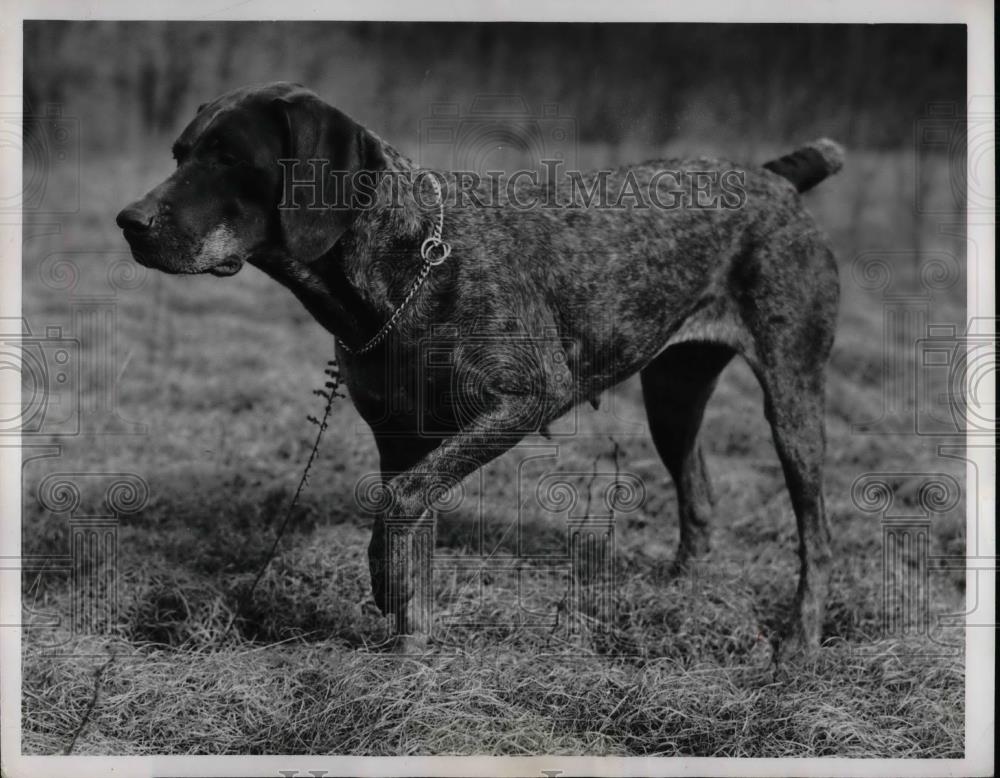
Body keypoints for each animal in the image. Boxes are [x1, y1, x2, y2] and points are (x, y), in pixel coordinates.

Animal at [117, 83, 844, 656]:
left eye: (230, 159)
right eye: (180, 154)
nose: (128, 221)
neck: (408, 262)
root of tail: (776, 177)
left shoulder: (527, 399)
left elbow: (399, 508)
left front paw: (384, 583)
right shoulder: (401, 439)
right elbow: (412, 541)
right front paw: (409, 658)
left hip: (793, 402)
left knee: (817, 536)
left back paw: (800, 643)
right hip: (672, 396)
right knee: (698, 496)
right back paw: (680, 596)